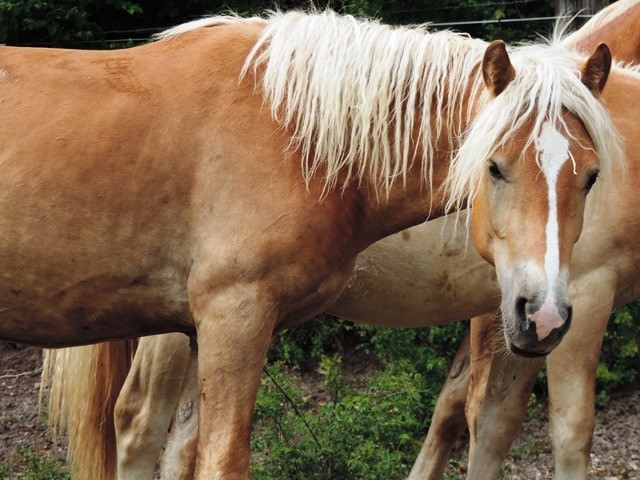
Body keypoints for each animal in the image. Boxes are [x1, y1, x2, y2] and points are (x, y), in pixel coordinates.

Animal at [11, 9, 616, 478]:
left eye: (591, 177)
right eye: (493, 166)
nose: (543, 316)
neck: (292, 135)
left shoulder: (201, 332)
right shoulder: (235, 318)